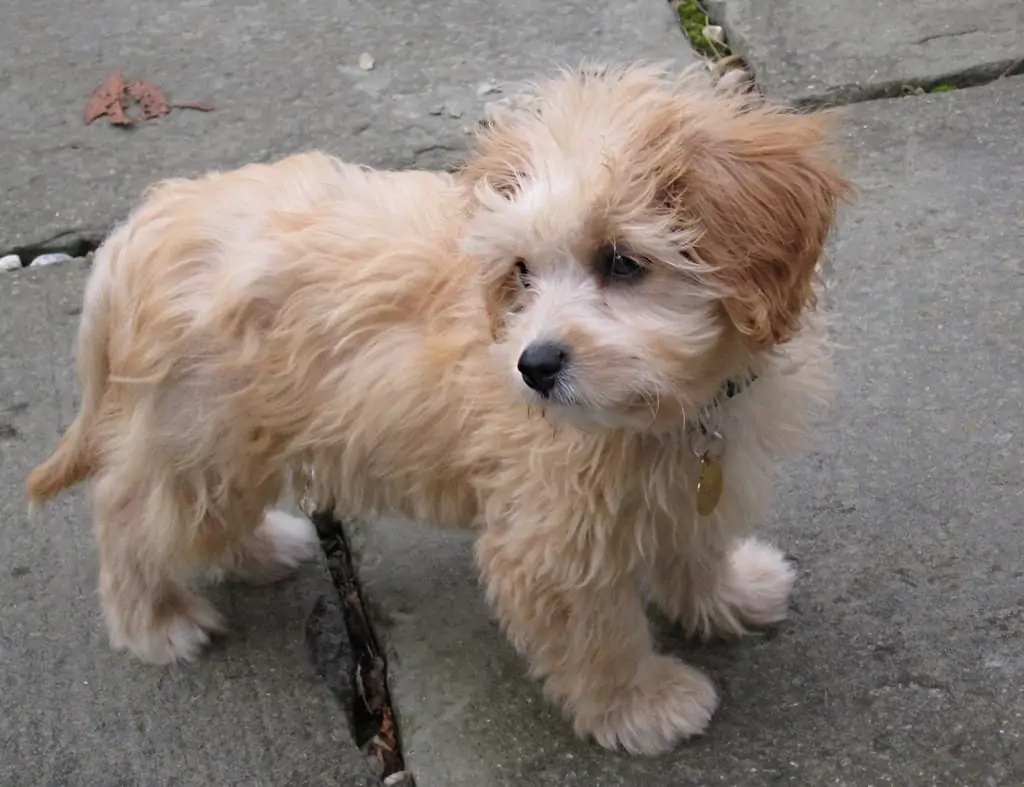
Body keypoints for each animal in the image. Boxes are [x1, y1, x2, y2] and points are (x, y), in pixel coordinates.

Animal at [28, 64, 851, 753]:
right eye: (521, 272)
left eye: (623, 262)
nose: (533, 367)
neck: (670, 409)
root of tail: (134, 236)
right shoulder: (549, 542)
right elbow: (600, 635)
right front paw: (640, 703)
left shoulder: (693, 474)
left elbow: (694, 542)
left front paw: (726, 595)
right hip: (200, 436)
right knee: (131, 516)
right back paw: (155, 621)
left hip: (230, 440)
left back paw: (258, 550)